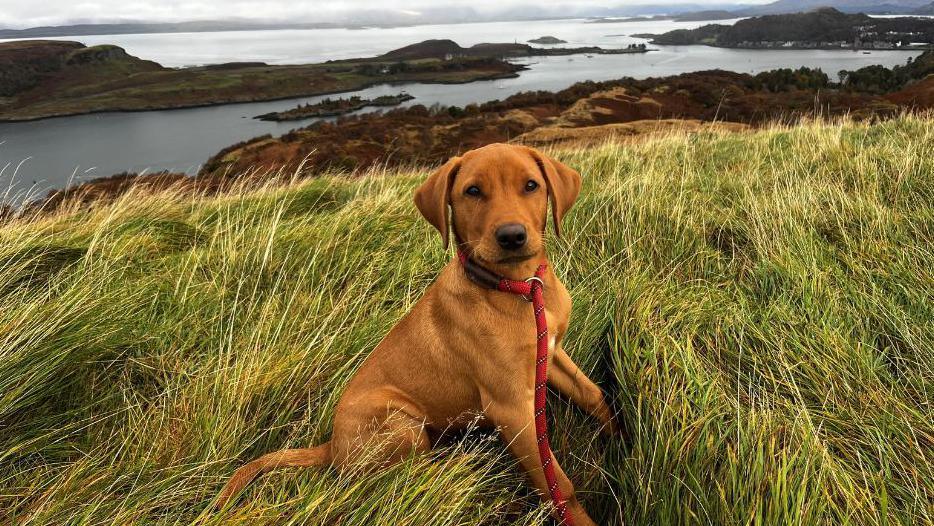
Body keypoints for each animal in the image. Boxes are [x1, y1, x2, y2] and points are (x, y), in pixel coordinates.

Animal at [216, 144, 616, 526]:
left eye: (531, 185)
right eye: (473, 191)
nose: (512, 236)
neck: (519, 287)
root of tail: (332, 446)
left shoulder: (551, 353)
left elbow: (594, 396)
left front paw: (618, 438)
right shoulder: (511, 407)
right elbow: (558, 485)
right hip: (399, 421)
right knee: (406, 475)